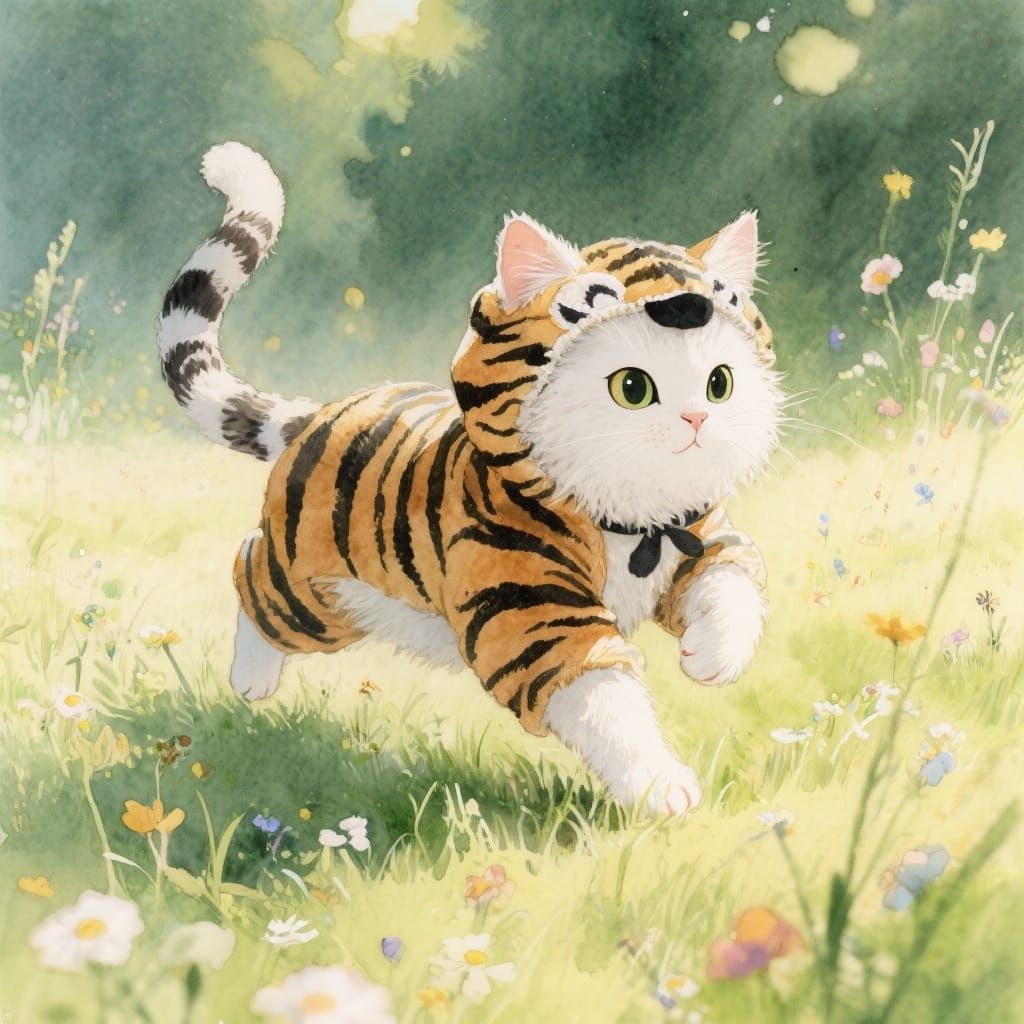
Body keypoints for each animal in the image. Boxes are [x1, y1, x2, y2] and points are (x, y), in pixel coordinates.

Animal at [157, 142, 782, 816]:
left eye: (719, 382)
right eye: (633, 387)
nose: (698, 418)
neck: (629, 520)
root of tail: (319, 413)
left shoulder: (702, 537)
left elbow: (730, 585)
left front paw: (712, 656)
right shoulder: (534, 613)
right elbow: (607, 704)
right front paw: (659, 786)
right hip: (310, 589)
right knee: (252, 569)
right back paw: (251, 678)